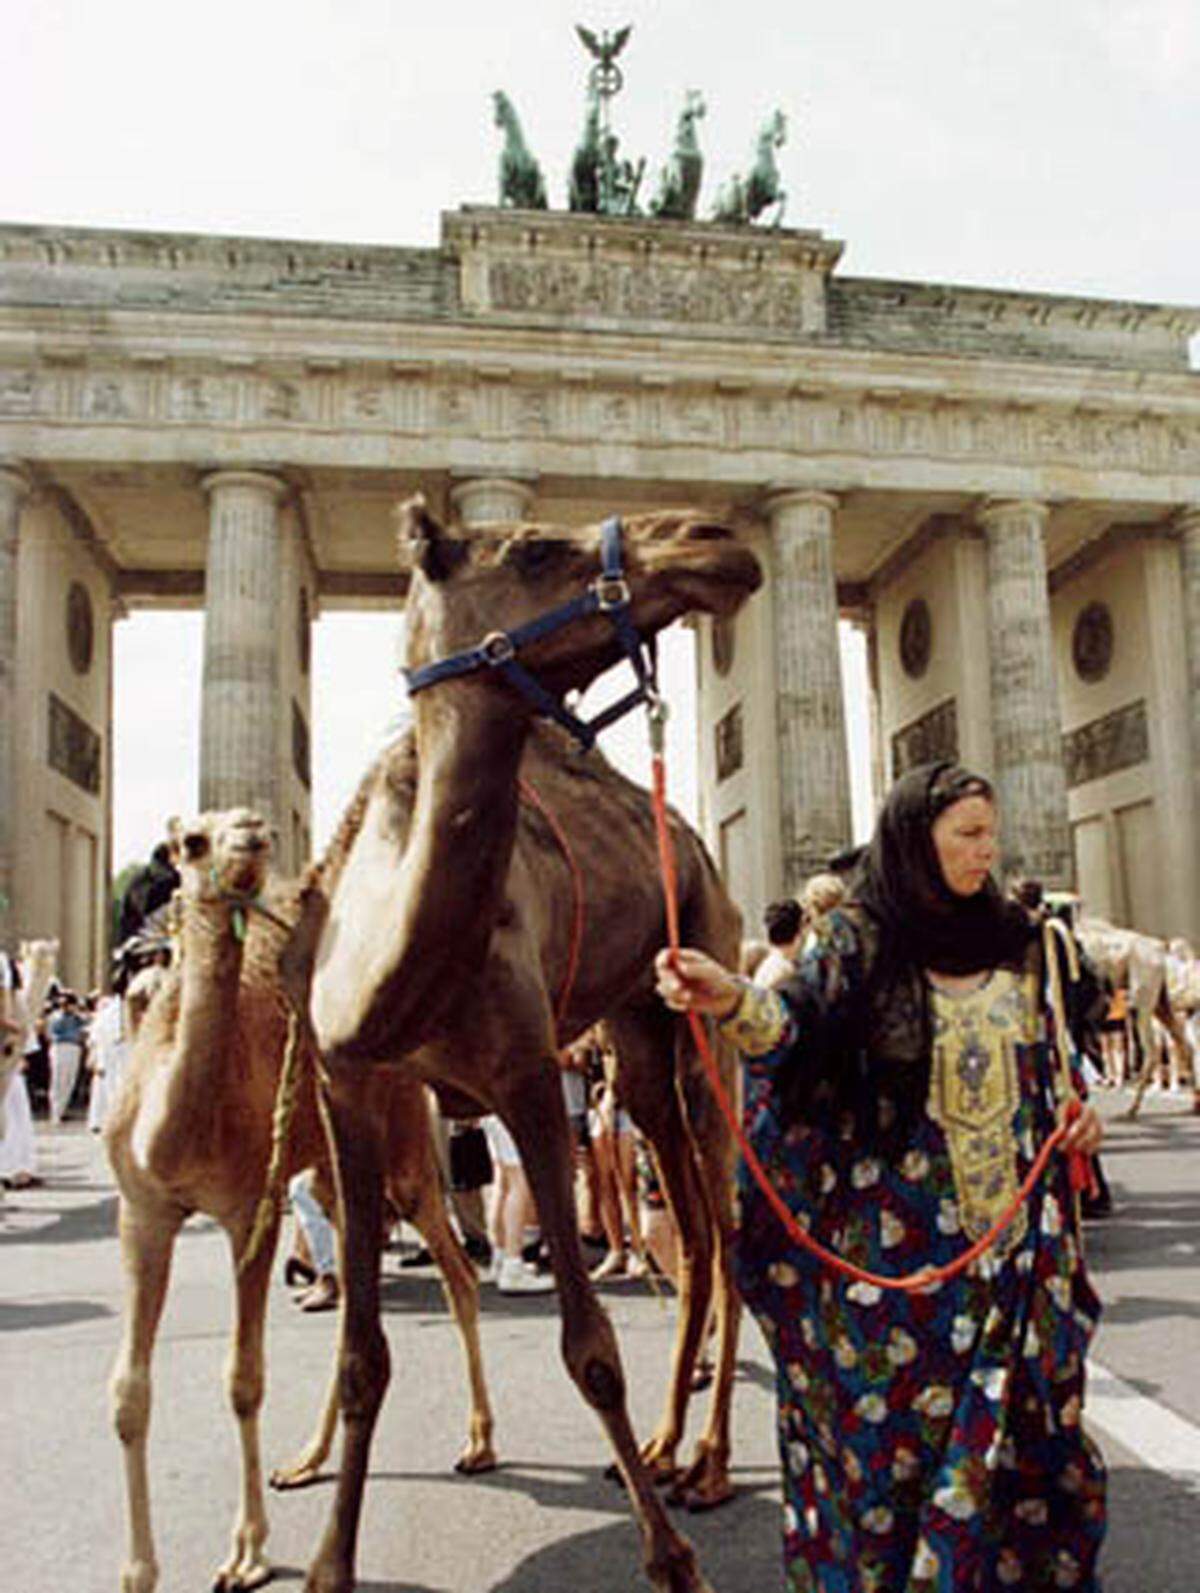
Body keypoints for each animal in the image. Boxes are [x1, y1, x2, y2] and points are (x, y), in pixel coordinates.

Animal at [105, 809, 494, 1593]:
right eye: (191, 841)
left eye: (241, 823)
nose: (252, 828)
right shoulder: (143, 1211)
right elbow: (129, 1392)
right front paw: (137, 1572)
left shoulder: (245, 1212)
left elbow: (244, 1379)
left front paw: (246, 1554)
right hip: (328, 1174)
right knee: (351, 1299)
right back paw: (306, 1461)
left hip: (406, 1149)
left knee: (459, 1274)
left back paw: (478, 1443)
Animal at [286, 500, 761, 1593]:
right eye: (537, 548)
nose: (714, 538)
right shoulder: (350, 1086)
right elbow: (361, 1355)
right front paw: (328, 1563)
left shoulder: (529, 1074)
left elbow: (590, 1347)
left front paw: (674, 1563)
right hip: (638, 1031)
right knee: (696, 1228)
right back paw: (663, 1448)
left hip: (708, 991)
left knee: (728, 1227)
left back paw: (710, 1464)